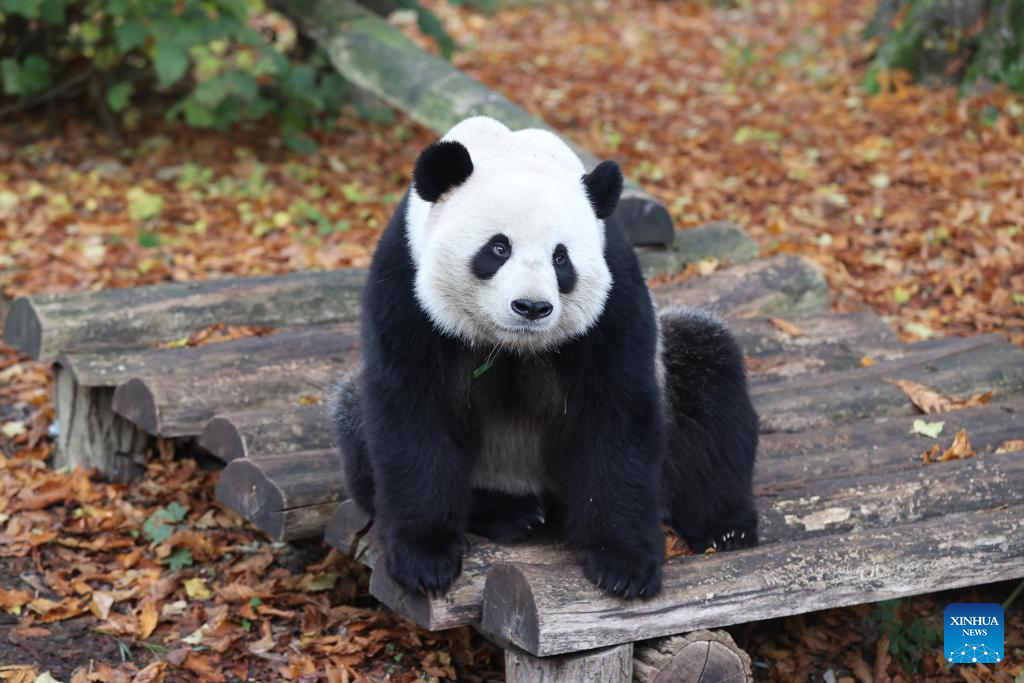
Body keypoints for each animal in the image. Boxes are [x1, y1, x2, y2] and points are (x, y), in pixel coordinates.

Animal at [329, 117, 761, 598]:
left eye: (561, 258)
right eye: (498, 248)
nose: (532, 307)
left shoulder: (615, 291)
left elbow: (615, 413)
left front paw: (623, 564)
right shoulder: (405, 282)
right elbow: (414, 413)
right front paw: (425, 558)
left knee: (708, 372)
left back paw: (725, 527)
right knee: (354, 411)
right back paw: (508, 512)